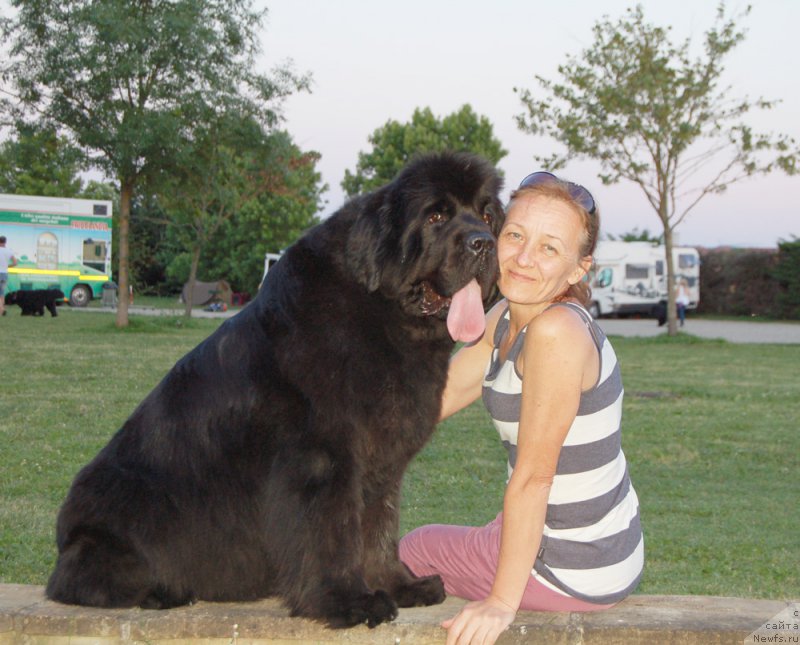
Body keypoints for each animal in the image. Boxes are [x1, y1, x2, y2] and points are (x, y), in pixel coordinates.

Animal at [47, 150, 504, 624]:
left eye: (488, 215)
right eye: (435, 215)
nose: (484, 243)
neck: (381, 312)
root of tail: (67, 537)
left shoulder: (381, 463)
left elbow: (379, 526)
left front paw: (400, 585)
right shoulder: (322, 457)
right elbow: (334, 531)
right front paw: (348, 600)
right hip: (128, 515)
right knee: (78, 581)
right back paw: (163, 590)